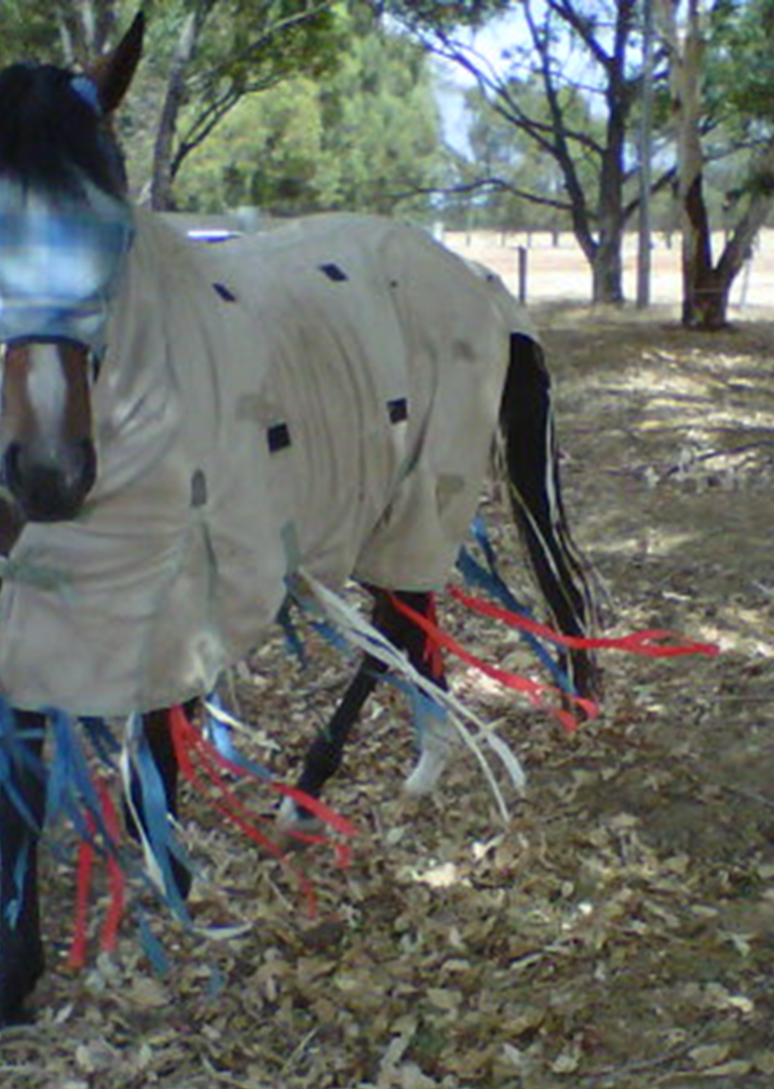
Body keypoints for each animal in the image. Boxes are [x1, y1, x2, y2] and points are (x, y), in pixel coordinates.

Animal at [0, 14, 599, 1023]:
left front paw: (166, 881)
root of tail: (481, 283)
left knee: (427, 612)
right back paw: (415, 763)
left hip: (426, 486)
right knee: (407, 621)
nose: (50, 472)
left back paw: (324, 790)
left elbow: (145, 733)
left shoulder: (168, 571)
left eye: (113, 233)